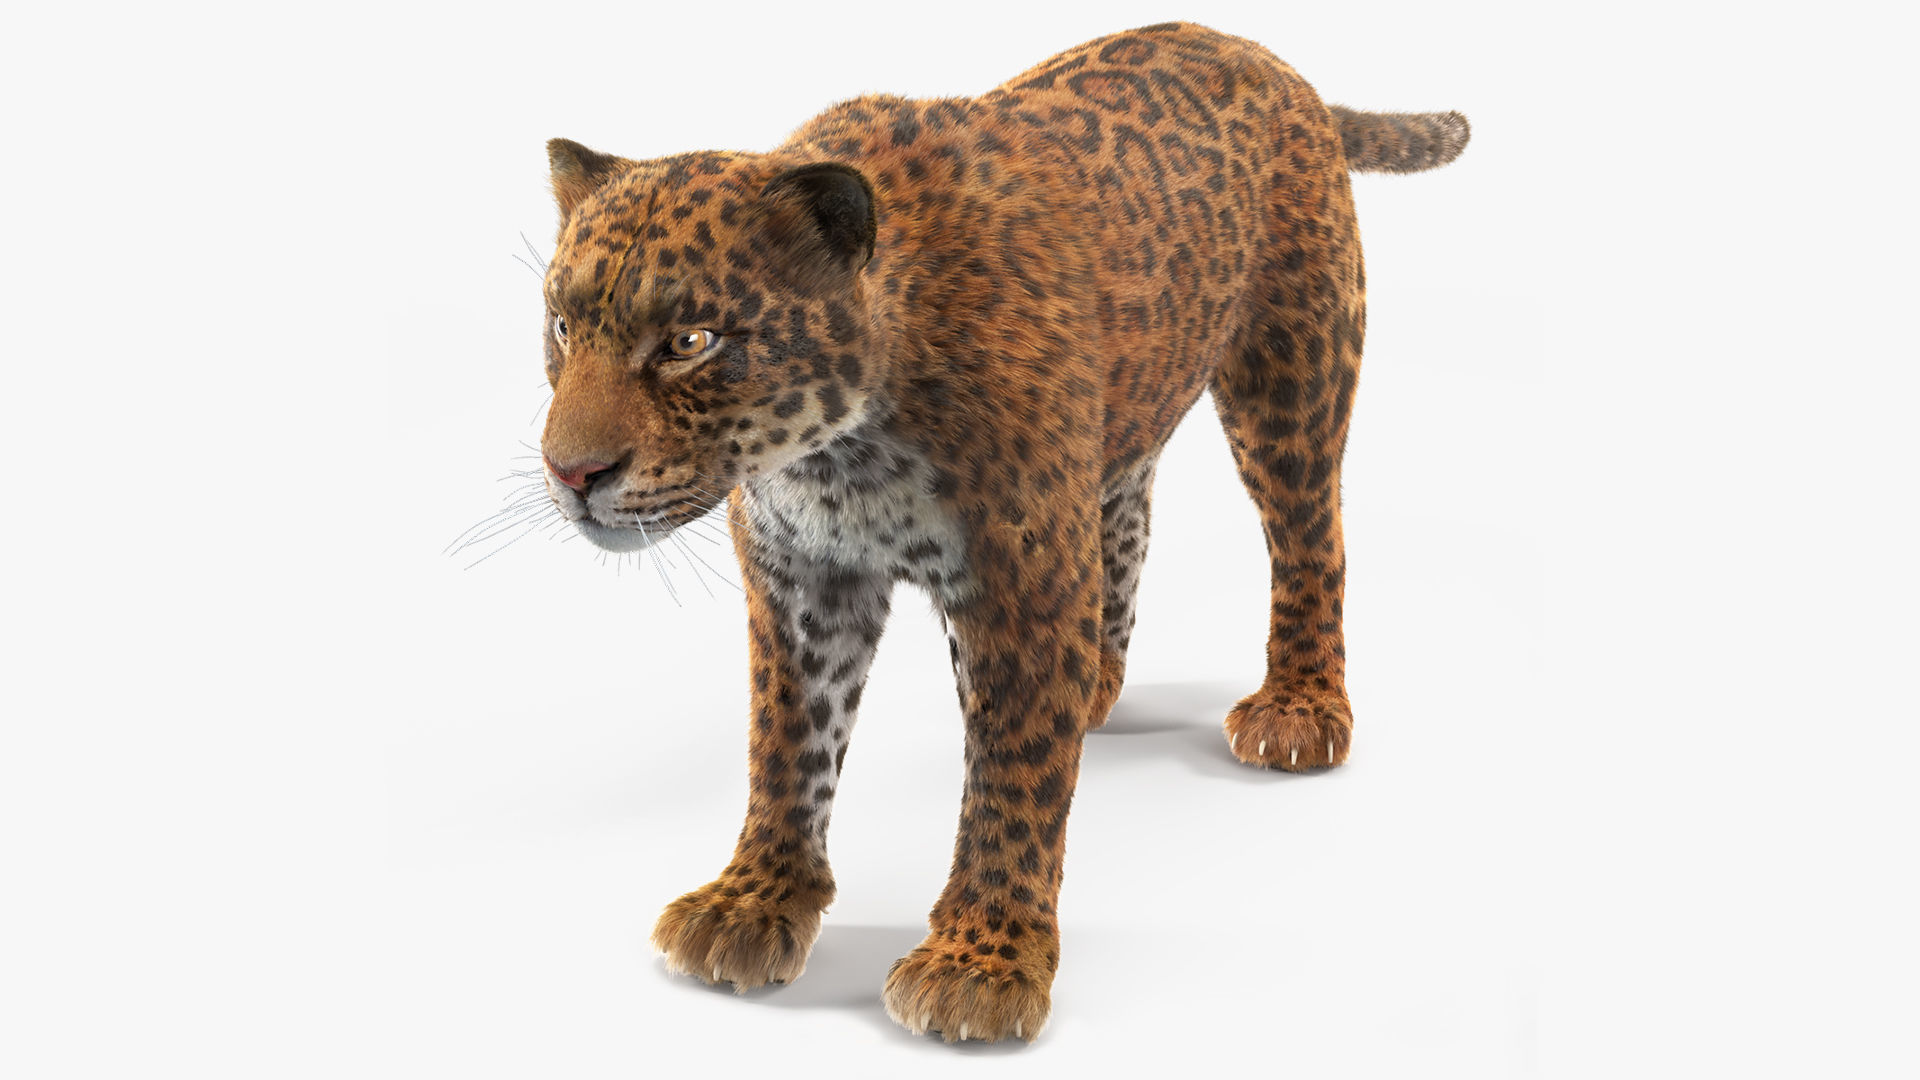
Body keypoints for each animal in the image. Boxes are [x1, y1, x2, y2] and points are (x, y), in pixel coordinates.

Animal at [528, 21, 1468, 1043]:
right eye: (562, 325)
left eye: (690, 342)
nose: (571, 475)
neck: (841, 453)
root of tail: (1275, 64)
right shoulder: (802, 577)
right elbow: (787, 739)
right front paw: (755, 900)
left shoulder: (1021, 578)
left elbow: (1012, 780)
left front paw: (980, 965)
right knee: (1125, 516)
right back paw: (1094, 683)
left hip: (1289, 376)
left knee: (1310, 538)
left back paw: (1299, 710)